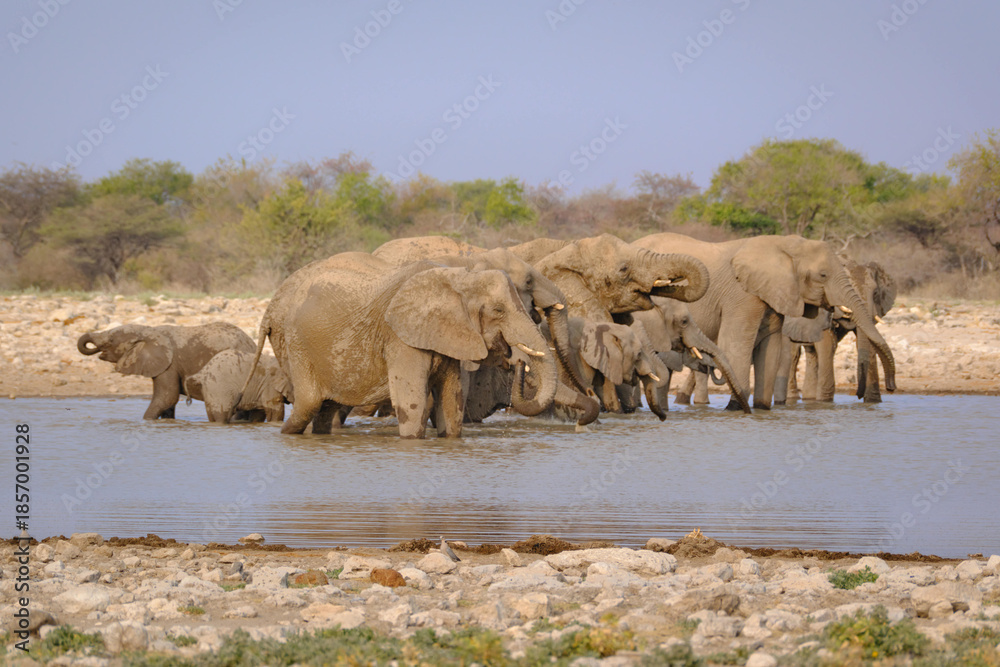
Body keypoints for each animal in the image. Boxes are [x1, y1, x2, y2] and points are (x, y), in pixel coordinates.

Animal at [77, 323, 256, 419]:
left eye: (111, 340)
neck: (147, 330)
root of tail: (252, 343)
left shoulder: (170, 364)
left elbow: (167, 397)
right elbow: (168, 403)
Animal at [253, 261, 558, 437]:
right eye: (498, 311)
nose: (519, 362)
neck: (459, 278)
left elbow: (452, 403)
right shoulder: (400, 338)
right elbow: (414, 403)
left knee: (326, 409)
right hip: (296, 345)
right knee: (308, 404)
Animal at [633, 233, 896, 410]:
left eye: (876, 292)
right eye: (823, 275)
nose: (892, 387)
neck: (785, 244)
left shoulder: (773, 293)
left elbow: (771, 349)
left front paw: (760, 409)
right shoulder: (741, 294)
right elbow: (737, 344)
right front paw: (736, 408)